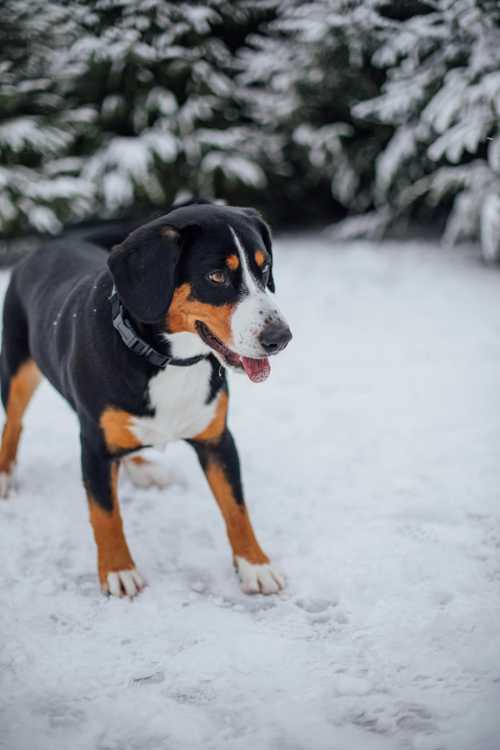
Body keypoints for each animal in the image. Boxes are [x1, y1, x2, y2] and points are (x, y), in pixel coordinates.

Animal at [0, 201, 292, 600]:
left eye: (264, 268)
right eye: (216, 276)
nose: (281, 337)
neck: (169, 361)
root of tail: (48, 247)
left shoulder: (217, 439)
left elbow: (236, 508)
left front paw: (255, 565)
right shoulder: (94, 447)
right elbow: (105, 514)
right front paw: (118, 570)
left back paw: (140, 466)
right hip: (17, 370)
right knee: (14, 424)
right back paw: (4, 475)